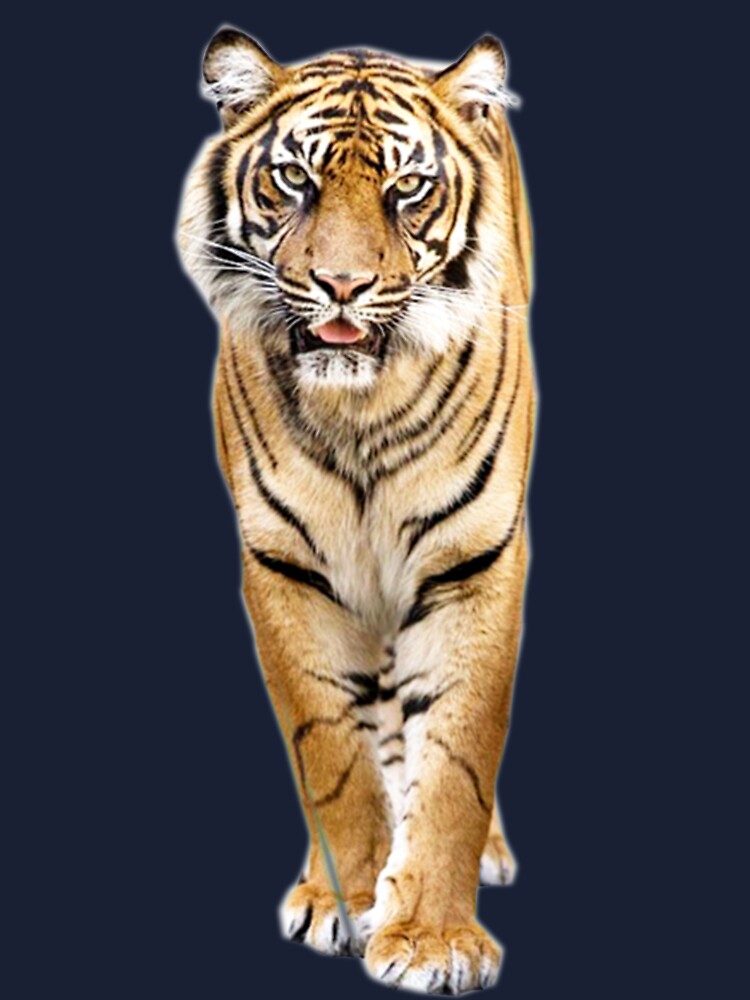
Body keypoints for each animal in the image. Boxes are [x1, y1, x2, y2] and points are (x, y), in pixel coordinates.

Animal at [177, 27, 535, 995]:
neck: (360, 409)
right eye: (294, 179)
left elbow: (456, 757)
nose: (340, 284)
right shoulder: (284, 567)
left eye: (405, 188)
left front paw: (432, 936)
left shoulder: (475, 561)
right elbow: (331, 751)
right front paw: (350, 894)